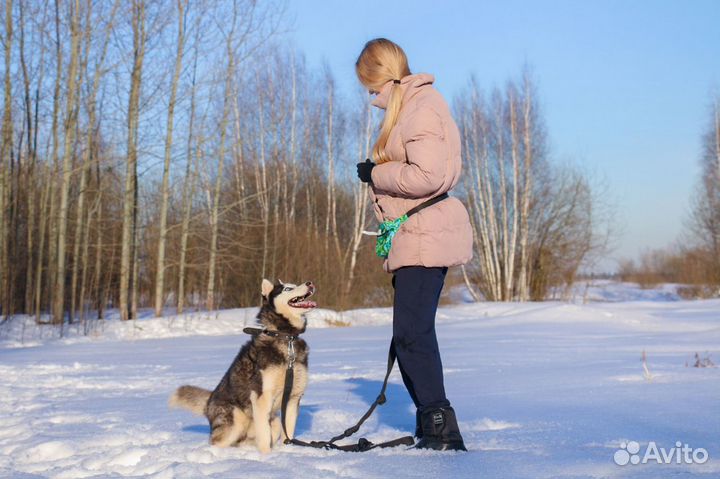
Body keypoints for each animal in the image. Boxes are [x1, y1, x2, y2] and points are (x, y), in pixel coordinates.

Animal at [170, 280, 316, 452]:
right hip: (235, 422)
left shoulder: (293, 398)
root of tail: (208, 405)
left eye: (294, 284)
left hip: (272, 423)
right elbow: (264, 438)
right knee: (217, 442)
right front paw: (267, 457)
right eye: (287, 288)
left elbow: (288, 433)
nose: (309, 283)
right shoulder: (262, 398)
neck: (286, 338)